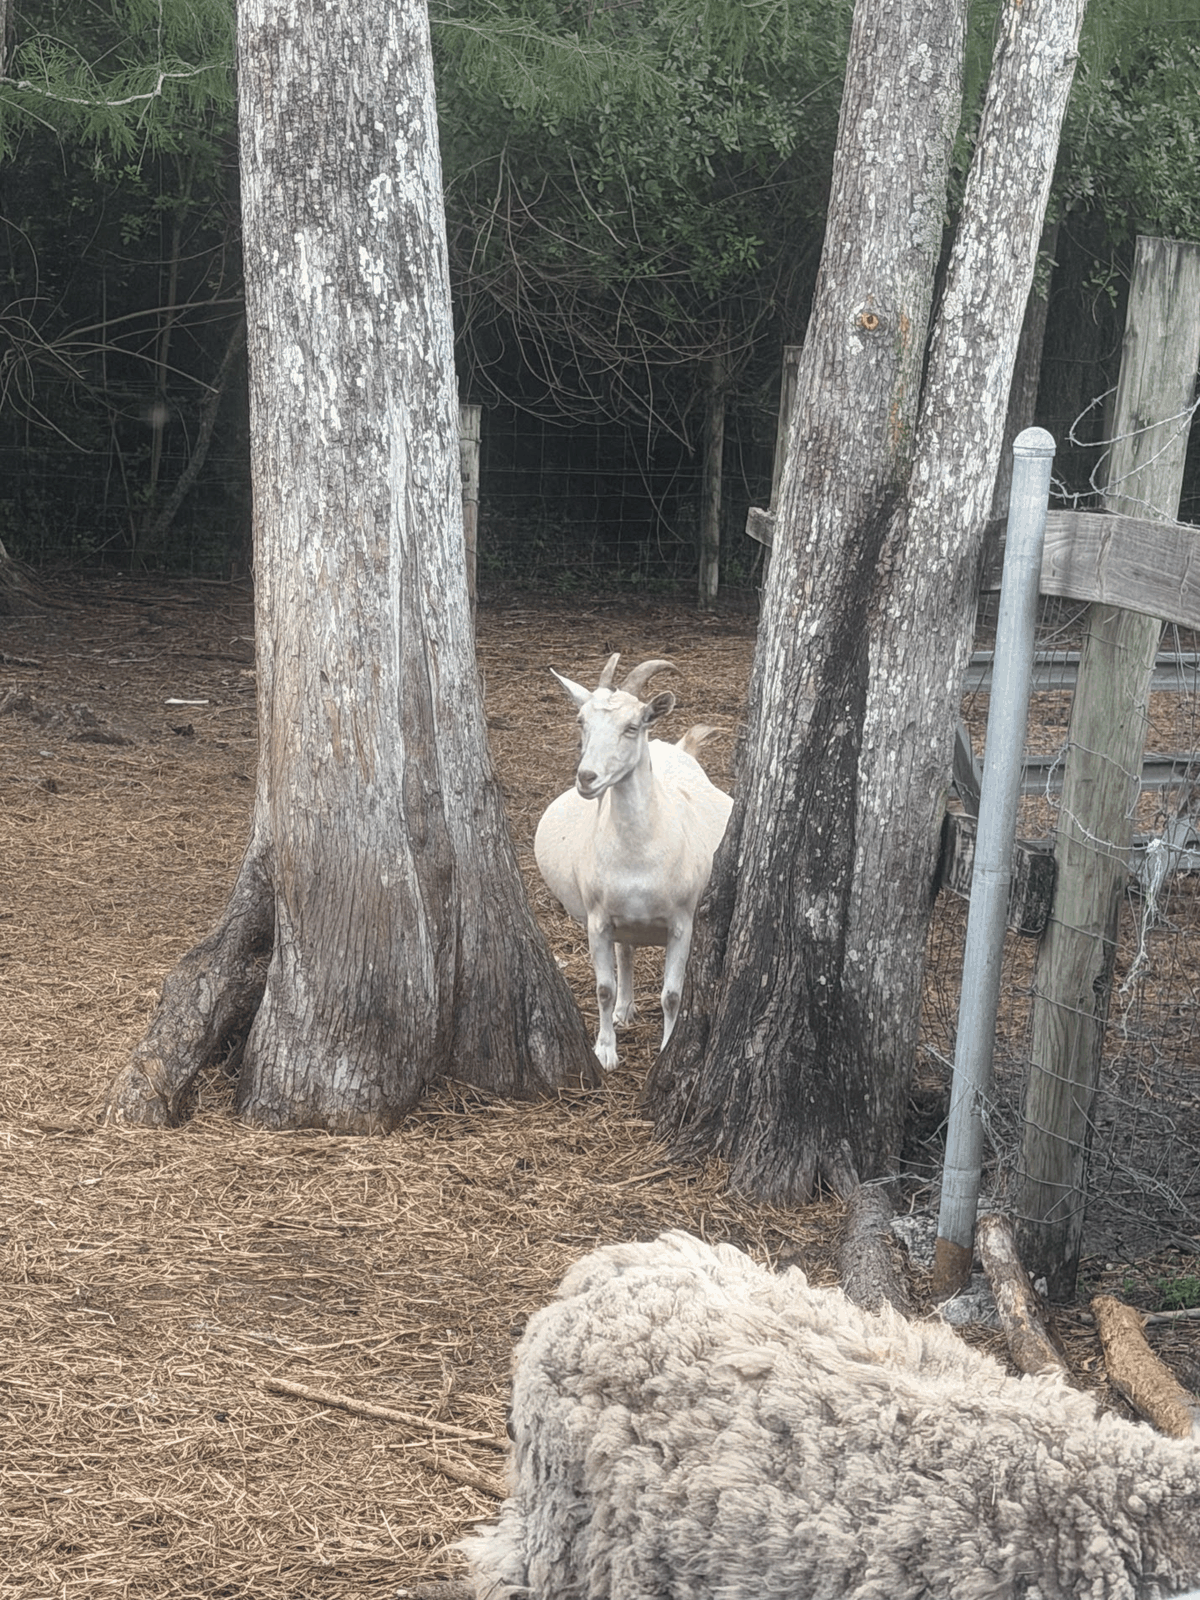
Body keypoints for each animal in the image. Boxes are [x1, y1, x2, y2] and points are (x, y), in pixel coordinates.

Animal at [534, 654, 732, 1070]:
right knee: (625, 952)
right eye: (581, 721)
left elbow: (672, 994)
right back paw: (625, 1010)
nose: (587, 778)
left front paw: (665, 1050)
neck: (639, 858)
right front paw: (606, 1050)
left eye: (632, 725)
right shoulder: (598, 920)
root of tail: (677, 747)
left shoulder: (682, 923)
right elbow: (603, 988)